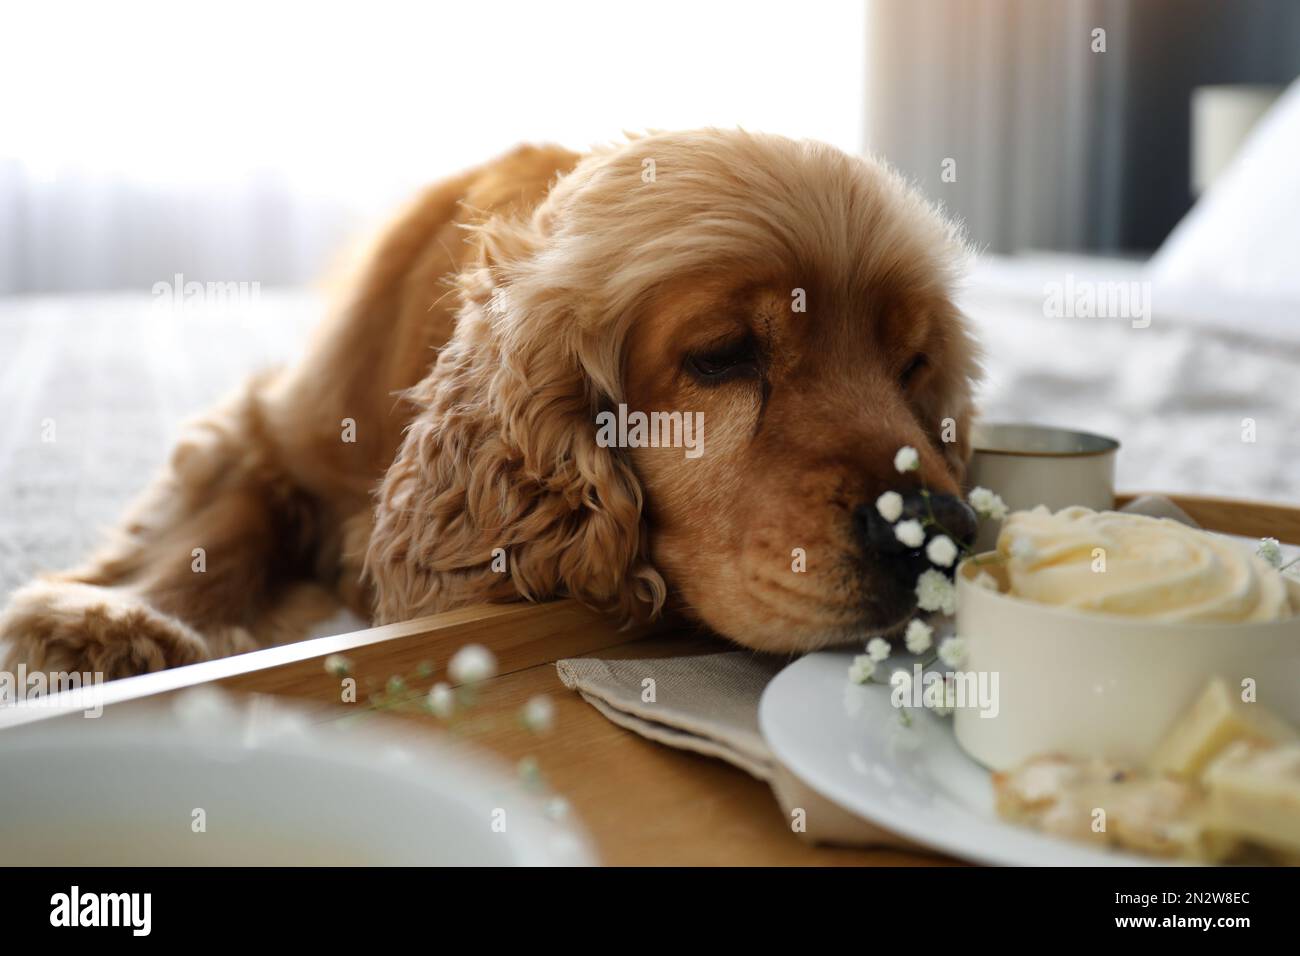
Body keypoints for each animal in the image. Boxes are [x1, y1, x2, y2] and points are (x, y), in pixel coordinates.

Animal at [0, 130, 977, 676]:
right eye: (722, 355)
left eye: (911, 365)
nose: (940, 533)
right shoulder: (281, 424)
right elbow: (223, 523)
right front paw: (113, 624)